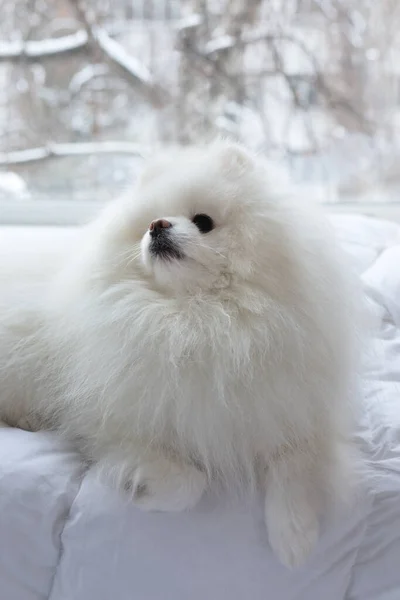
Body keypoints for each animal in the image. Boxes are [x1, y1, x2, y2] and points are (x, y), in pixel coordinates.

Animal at [0, 141, 360, 568]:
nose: (157, 225)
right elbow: (190, 483)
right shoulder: (110, 423)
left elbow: (296, 464)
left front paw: (294, 537)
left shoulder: (289, 405)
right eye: (145, 224)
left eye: (203, 221)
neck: (197, 320)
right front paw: (140, 485)